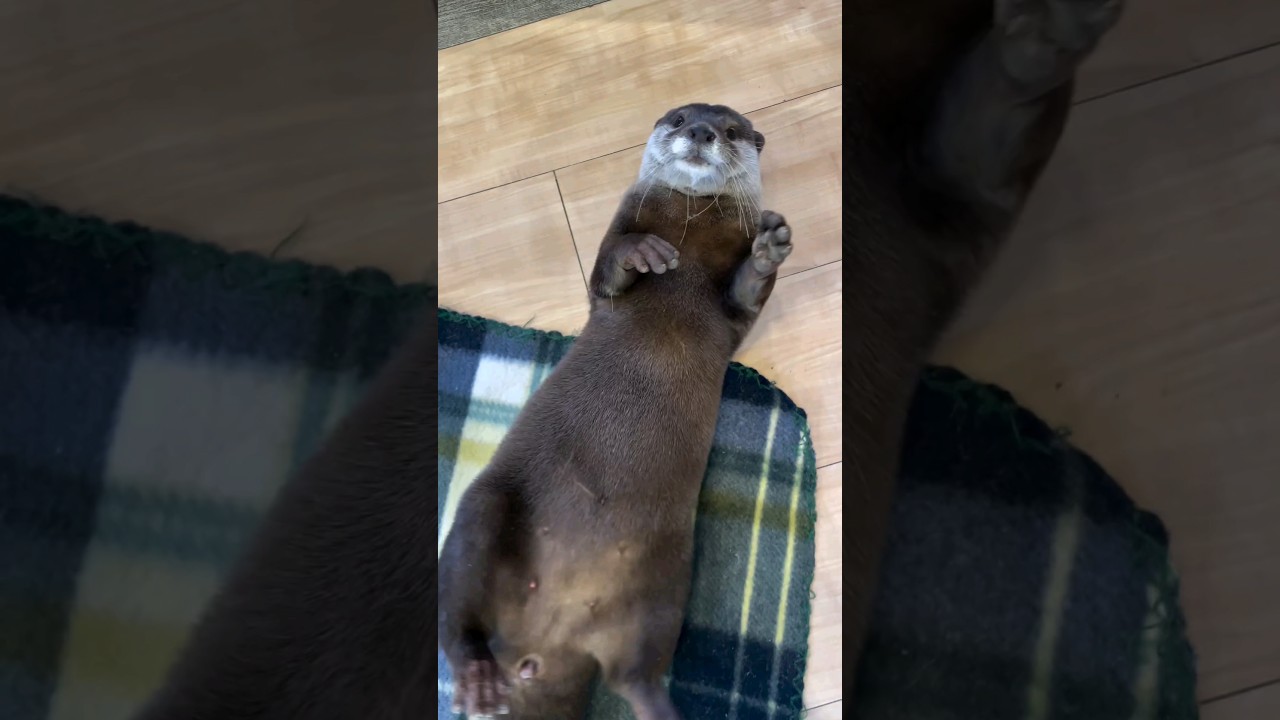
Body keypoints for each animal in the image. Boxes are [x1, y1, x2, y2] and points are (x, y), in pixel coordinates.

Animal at [437, 103, 790, 720]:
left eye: (731, 130)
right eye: (679, 118)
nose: (700, 132)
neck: (691, 233)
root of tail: (540, 647)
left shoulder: (735, 317)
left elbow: (745, 293)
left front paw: (769, 248)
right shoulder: (614, 250)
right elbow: (607, 271)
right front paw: (644, 253)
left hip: (663, 589)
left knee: (635, 675)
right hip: (485, 508)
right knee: (456, 613)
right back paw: (476, 674)